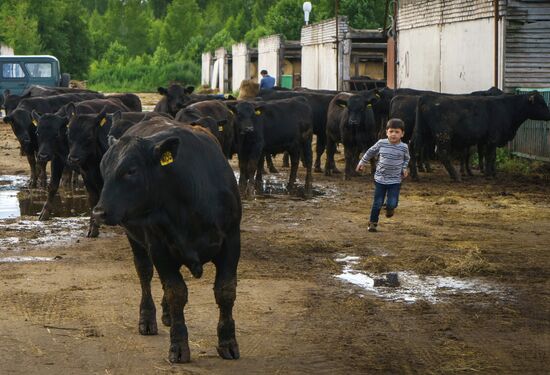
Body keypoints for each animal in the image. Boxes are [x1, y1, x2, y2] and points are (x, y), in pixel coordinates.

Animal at [92, 118, 242, 364]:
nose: (98, 213)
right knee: (144, 274)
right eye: (104, 170)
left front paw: (228, 342)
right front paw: (179, 346)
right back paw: (148, 318)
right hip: (136, 241)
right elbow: (176, 293)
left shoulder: (231, 241)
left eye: (131, 170)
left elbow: (225, 290)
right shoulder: (159, 249)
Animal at [416, 90, 548, 180]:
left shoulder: (489, 141)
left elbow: (492, 156)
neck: (508, 107)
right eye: (541, 103)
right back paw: (455, 176)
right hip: (443, 135)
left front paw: (493, 173)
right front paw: (489, 174)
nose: (549, 114)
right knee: (442, 153)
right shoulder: (493, 139)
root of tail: (428, 97)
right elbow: (489, 156)